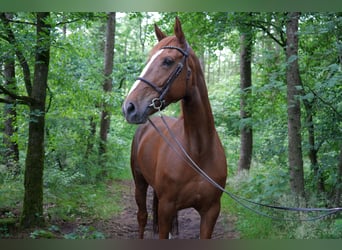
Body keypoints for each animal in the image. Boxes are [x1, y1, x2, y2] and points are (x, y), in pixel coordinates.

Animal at [122, 16, 227, 239]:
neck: (198, 152)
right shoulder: (166, 207)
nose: (129, 107)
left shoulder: (211, 211)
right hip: (140, 182)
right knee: (142, 216)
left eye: (168, 61)